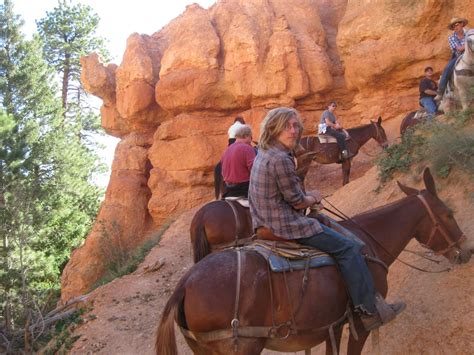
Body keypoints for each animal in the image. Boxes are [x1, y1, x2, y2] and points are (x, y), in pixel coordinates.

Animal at [156, 168, 470, 354]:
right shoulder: (360, 325)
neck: (368, 242)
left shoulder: (334, 325)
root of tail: (185, 283)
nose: (467, 251)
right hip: (241, 347)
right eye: (448, 214)